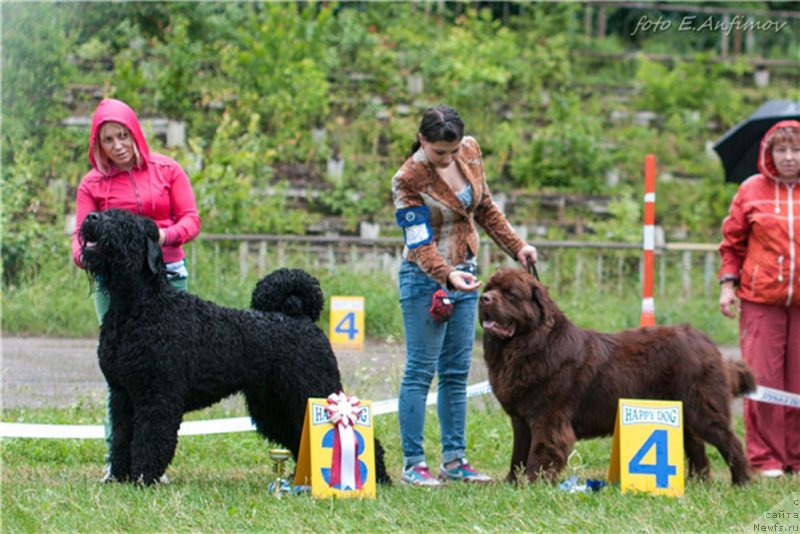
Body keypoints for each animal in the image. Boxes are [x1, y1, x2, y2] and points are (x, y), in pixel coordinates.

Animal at [79, 209, 390, 486]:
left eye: (125, 222)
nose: (91, 218)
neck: (138, 307)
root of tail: (301, 316)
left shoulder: (156, 396)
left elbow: (149, 439)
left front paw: (143, 478)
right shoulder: (122, 395)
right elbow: (122, 439)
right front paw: (118, 478)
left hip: (314, 390)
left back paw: (376, 478)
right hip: (273, 403)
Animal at [478, 270, 752, 488]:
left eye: (510, 293)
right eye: (488, 288)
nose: (484, 298)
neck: (529, 346)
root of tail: (706, 341)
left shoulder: (548, 417)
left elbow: (541, 451)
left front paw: (532, 484)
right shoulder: (521, 419)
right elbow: (518, 453)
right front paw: (510, 483)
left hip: (702, 408)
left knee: (730, 442)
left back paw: (742, 483)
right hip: (682, 412)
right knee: (697, 447)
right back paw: (699, 482)